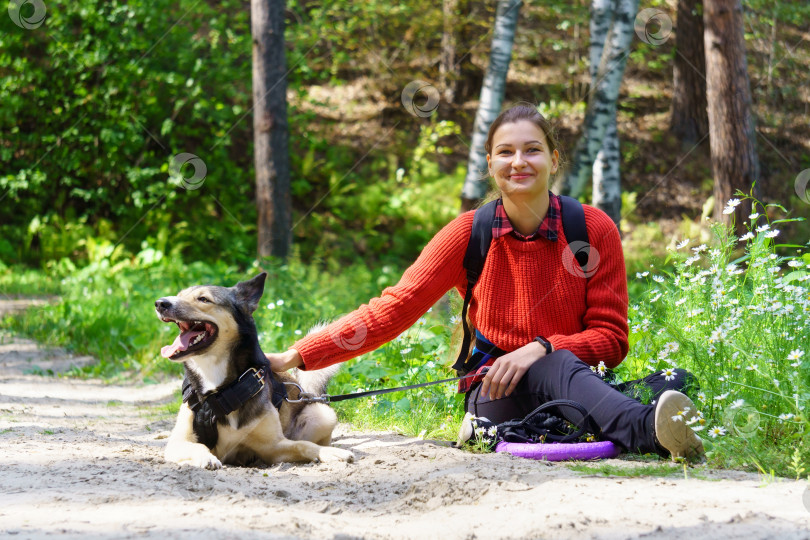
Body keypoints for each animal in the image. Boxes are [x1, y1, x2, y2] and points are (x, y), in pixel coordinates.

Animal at [153, 274, 352, 468]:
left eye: (203, 299)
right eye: (179, 295)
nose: (160, 303)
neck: (220, 390)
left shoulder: (273, 447)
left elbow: (303, 445)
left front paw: (328, 453)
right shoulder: (178, 442)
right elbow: (198, 446)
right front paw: (206, 458)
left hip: (322, 413)